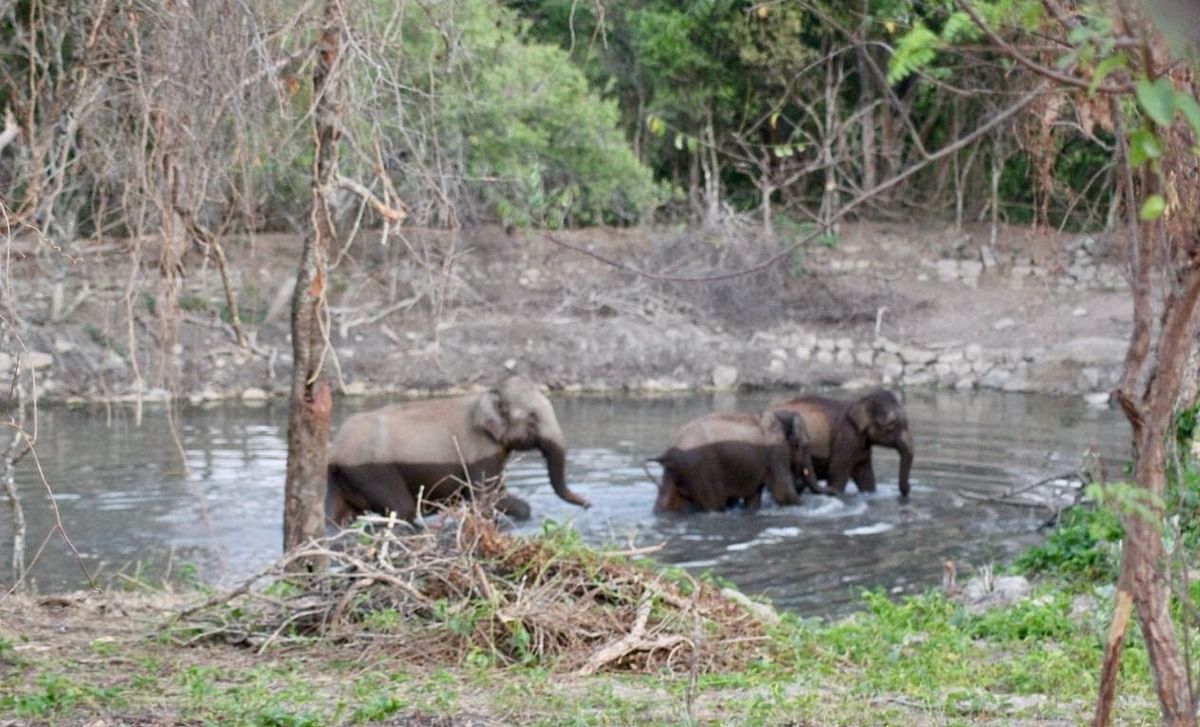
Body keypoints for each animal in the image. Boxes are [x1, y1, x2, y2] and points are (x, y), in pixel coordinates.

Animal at [326, 379, 592, 527]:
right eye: (532, 418)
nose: (588, 505)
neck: (485, 396)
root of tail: (335, 449)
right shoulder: (480, 454)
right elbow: (486, 499)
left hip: (344, 477)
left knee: (338, 514)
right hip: (372, 471)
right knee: (403, 509)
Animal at [652, 412, 830, 515]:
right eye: (805, 445)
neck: (778, 417)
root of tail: (669, 453)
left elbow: (754, 497)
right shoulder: (776, 451)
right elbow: (783, 493)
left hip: (675, 473)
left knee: (666, 502)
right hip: (700, 471)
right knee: (714, 503)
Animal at [772, 391, 912, 499]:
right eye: (890, 426)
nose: (909, 488)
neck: (859, 403)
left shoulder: (861, 447)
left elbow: (866, 478)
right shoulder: (847, 438)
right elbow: (836, 475)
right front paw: (837, 493)